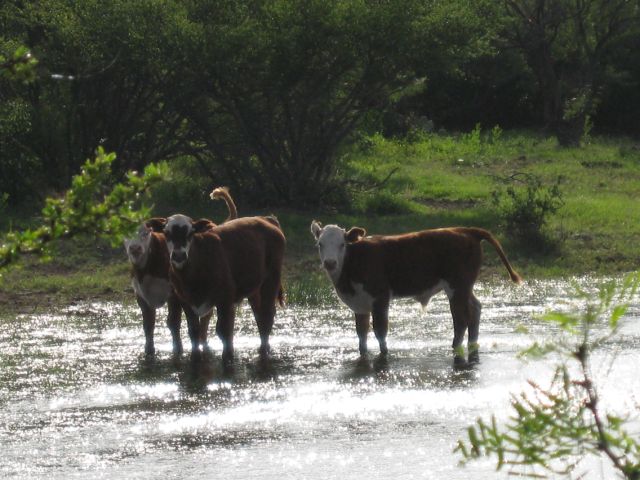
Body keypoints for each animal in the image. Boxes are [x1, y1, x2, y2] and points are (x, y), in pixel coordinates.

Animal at [124, 187, 237, 358]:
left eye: (146, 233)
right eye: (124, 234)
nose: (135, 248)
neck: (147, 270)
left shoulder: (174, 294)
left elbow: (173, 322)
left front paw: (178, 349)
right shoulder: (140, 294)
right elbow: (148, 324)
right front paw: (149, 350)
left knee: (206, 317)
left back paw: (203, 344)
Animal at [146, 214, 286, 364]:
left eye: (190, 233)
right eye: (166, 233)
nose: (179, 255)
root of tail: (266, 218)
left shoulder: (225, 299)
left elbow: (224, 330)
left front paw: (228, 358)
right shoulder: (184, 300)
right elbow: (193, 330)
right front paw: (195, 357)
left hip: (272, 278)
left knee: (267, 316)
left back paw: (264, 352)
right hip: (254, 288)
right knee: (259, 315)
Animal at [310, 221, 522, 362]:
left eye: (342, 244)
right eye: (320, 244)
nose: (330, 263)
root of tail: (465, 230)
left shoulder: (380, 297)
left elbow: (380, 330)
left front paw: (384, 355)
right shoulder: (360, 304)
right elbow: (361, 334)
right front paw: (363, 355)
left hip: (457, 286)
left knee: (461, 319)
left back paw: (456, 348)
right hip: (465, 287)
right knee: (475, 309)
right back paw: (472, 345)